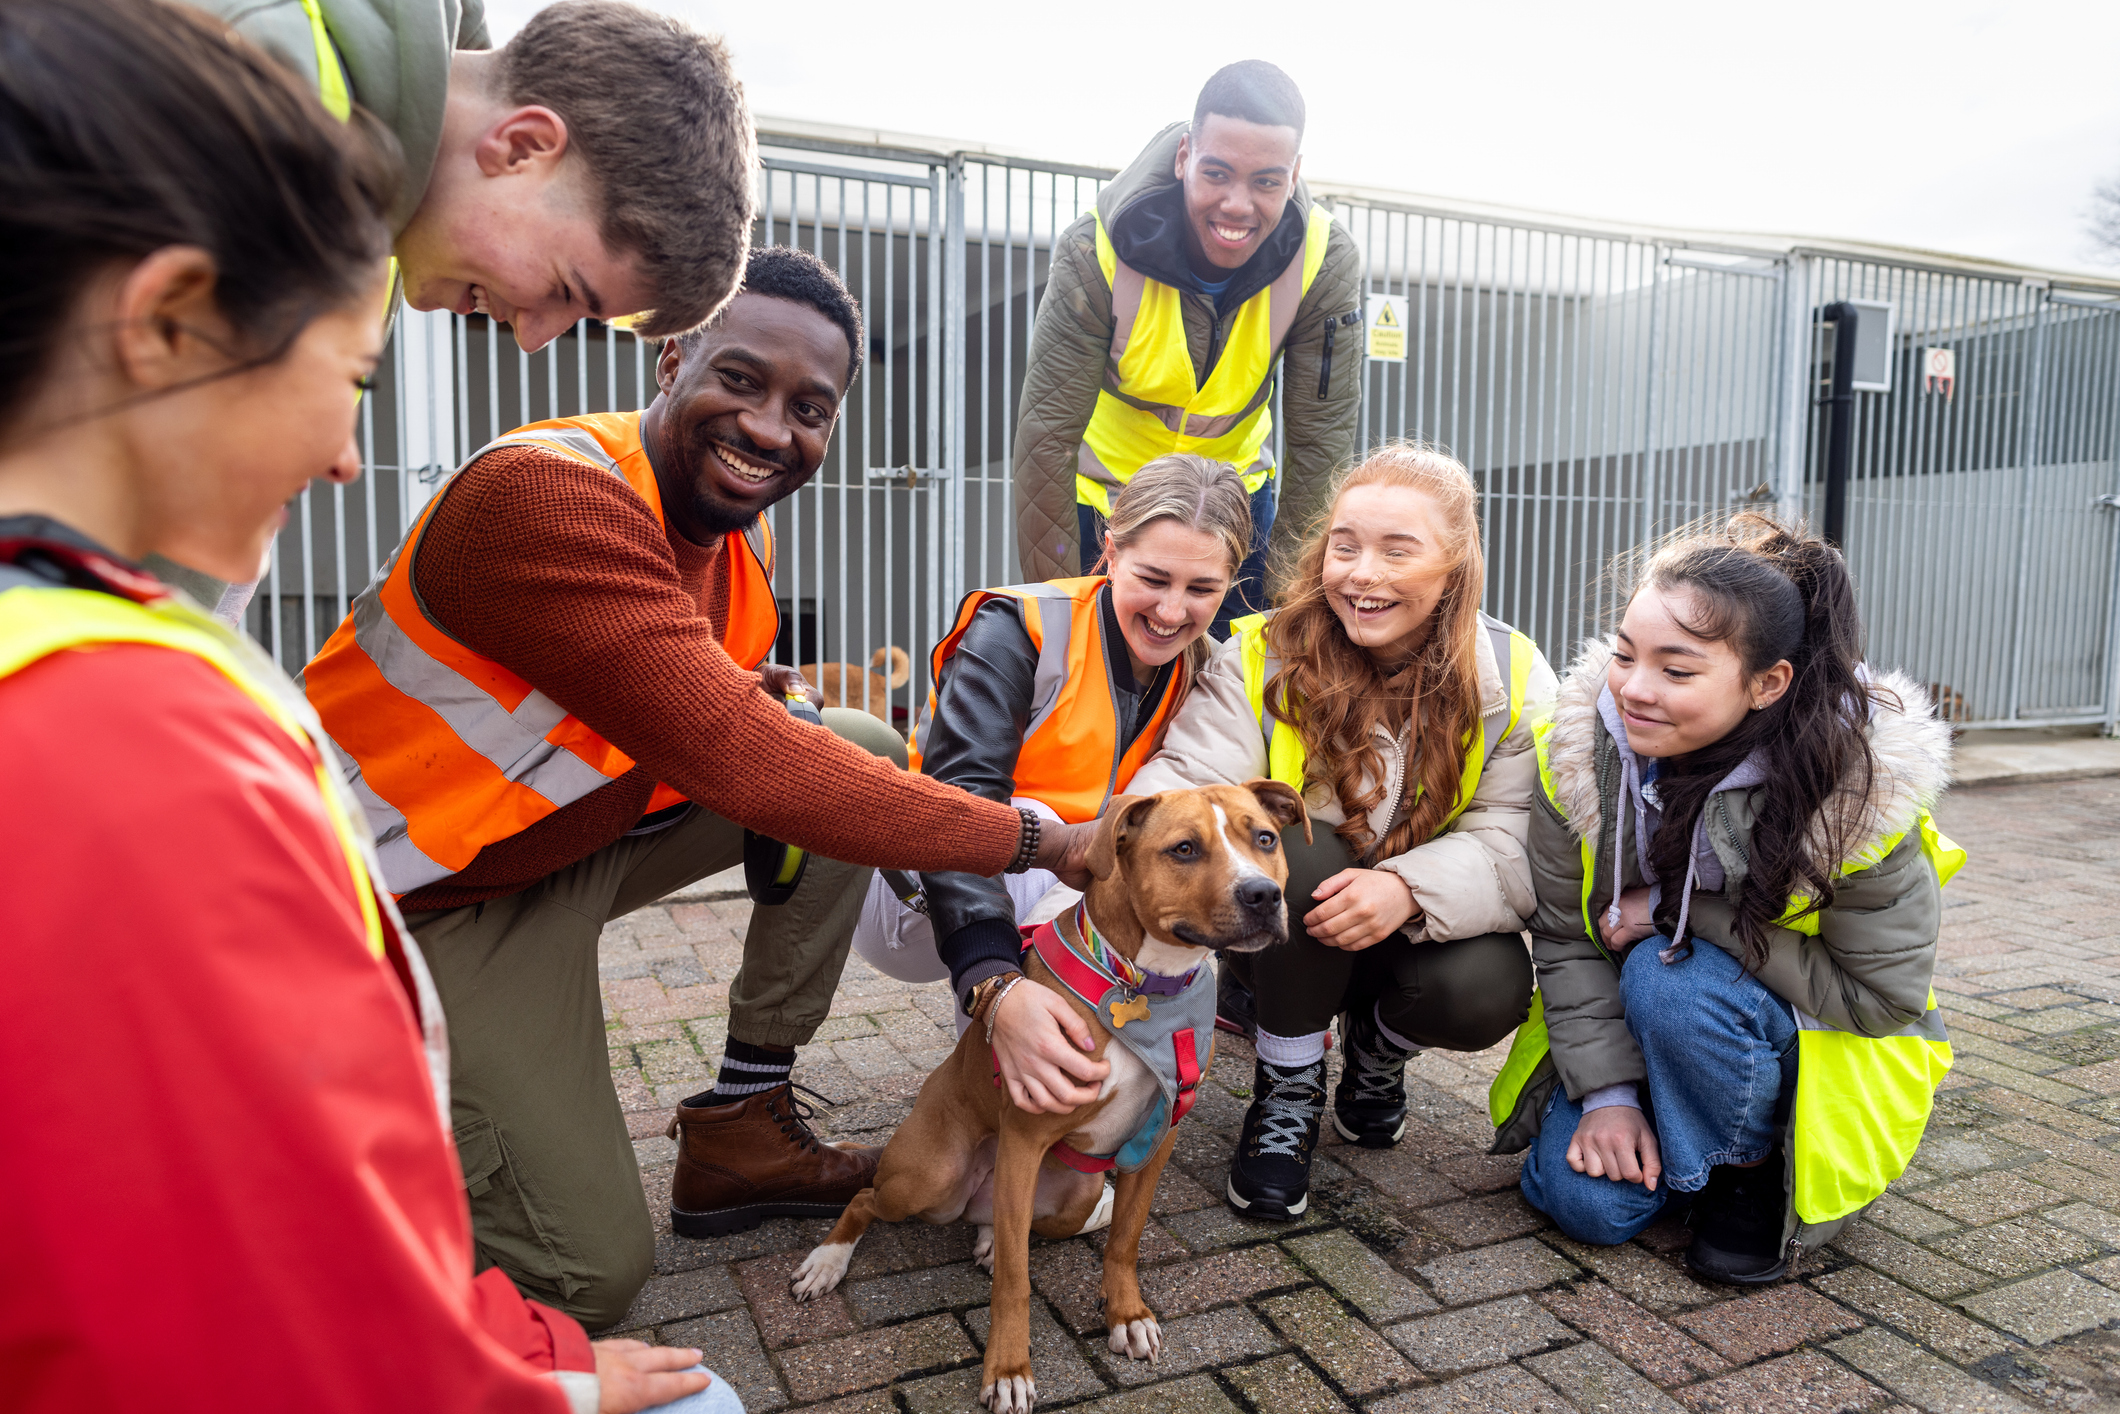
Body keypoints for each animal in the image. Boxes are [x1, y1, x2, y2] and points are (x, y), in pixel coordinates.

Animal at [788, 780, 1297, 1407]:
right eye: (1184, 849)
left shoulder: (1158, 1140)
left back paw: (986, 1238)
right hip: (930, 1178)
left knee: (1011, 1221)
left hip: (1075, 1190)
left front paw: (1126, 1315)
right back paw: (828, 1261)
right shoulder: (1026, 1138)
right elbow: (1016, 1280)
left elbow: (1126, 1236)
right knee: (866, 1198)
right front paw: (1008, 1369)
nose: (1263, 894)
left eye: (1265, 839)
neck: (1140, 983)